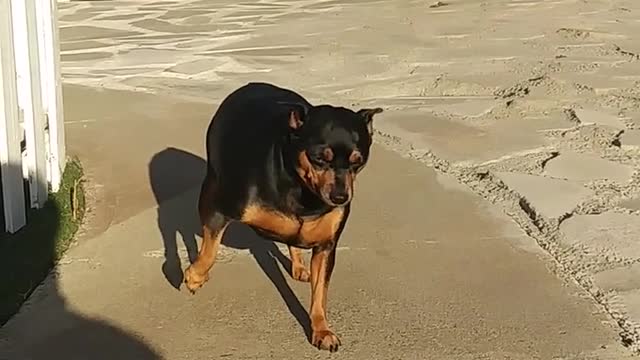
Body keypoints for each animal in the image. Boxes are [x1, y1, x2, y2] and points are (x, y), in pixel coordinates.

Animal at [185, 81, 382, 352]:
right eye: (319, 159)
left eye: (358, 162)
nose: (341, 197)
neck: (303, 193)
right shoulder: (220, 210)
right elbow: (209, 252)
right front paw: (195, 276)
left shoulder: (326, 246)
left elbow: (320, 293)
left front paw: (322, 330)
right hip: (212, 182)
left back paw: (298, 266)